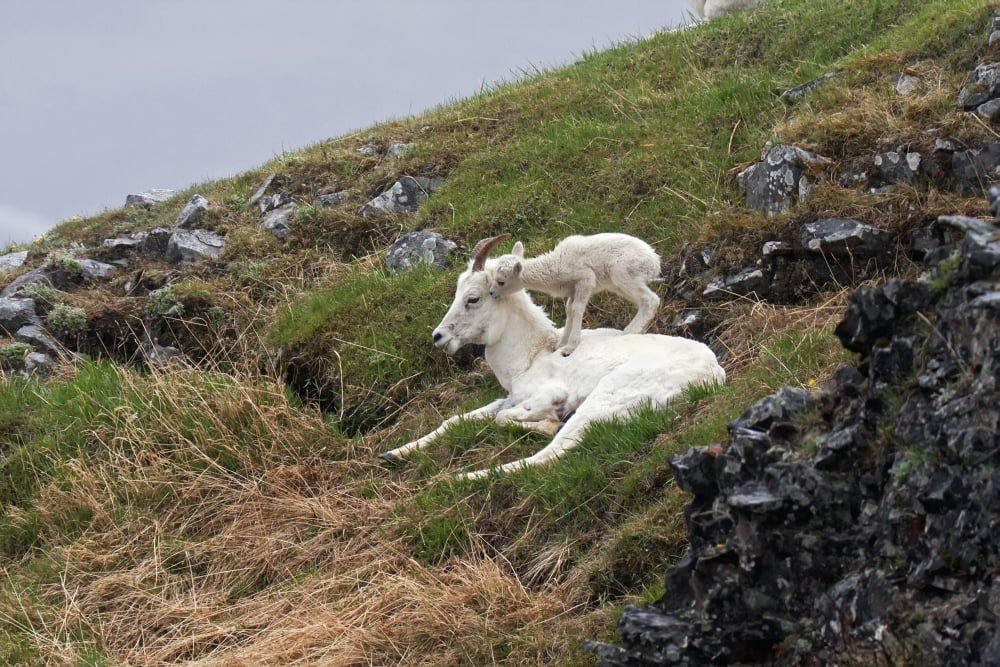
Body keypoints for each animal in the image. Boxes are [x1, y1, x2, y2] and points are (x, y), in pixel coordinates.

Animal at [488, 233, 662, 357]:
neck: (555, 265)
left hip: (622, 273)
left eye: (501, 282)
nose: (491, 293)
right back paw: (640, 329)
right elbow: (569, 310)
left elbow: (577, 308)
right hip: (619, 283)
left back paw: (628, 331)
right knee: (644, 302)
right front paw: (560, 344)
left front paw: (570, 347)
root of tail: (655, 262)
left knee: (651, 300)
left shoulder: (585, 279)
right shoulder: (572, 289)